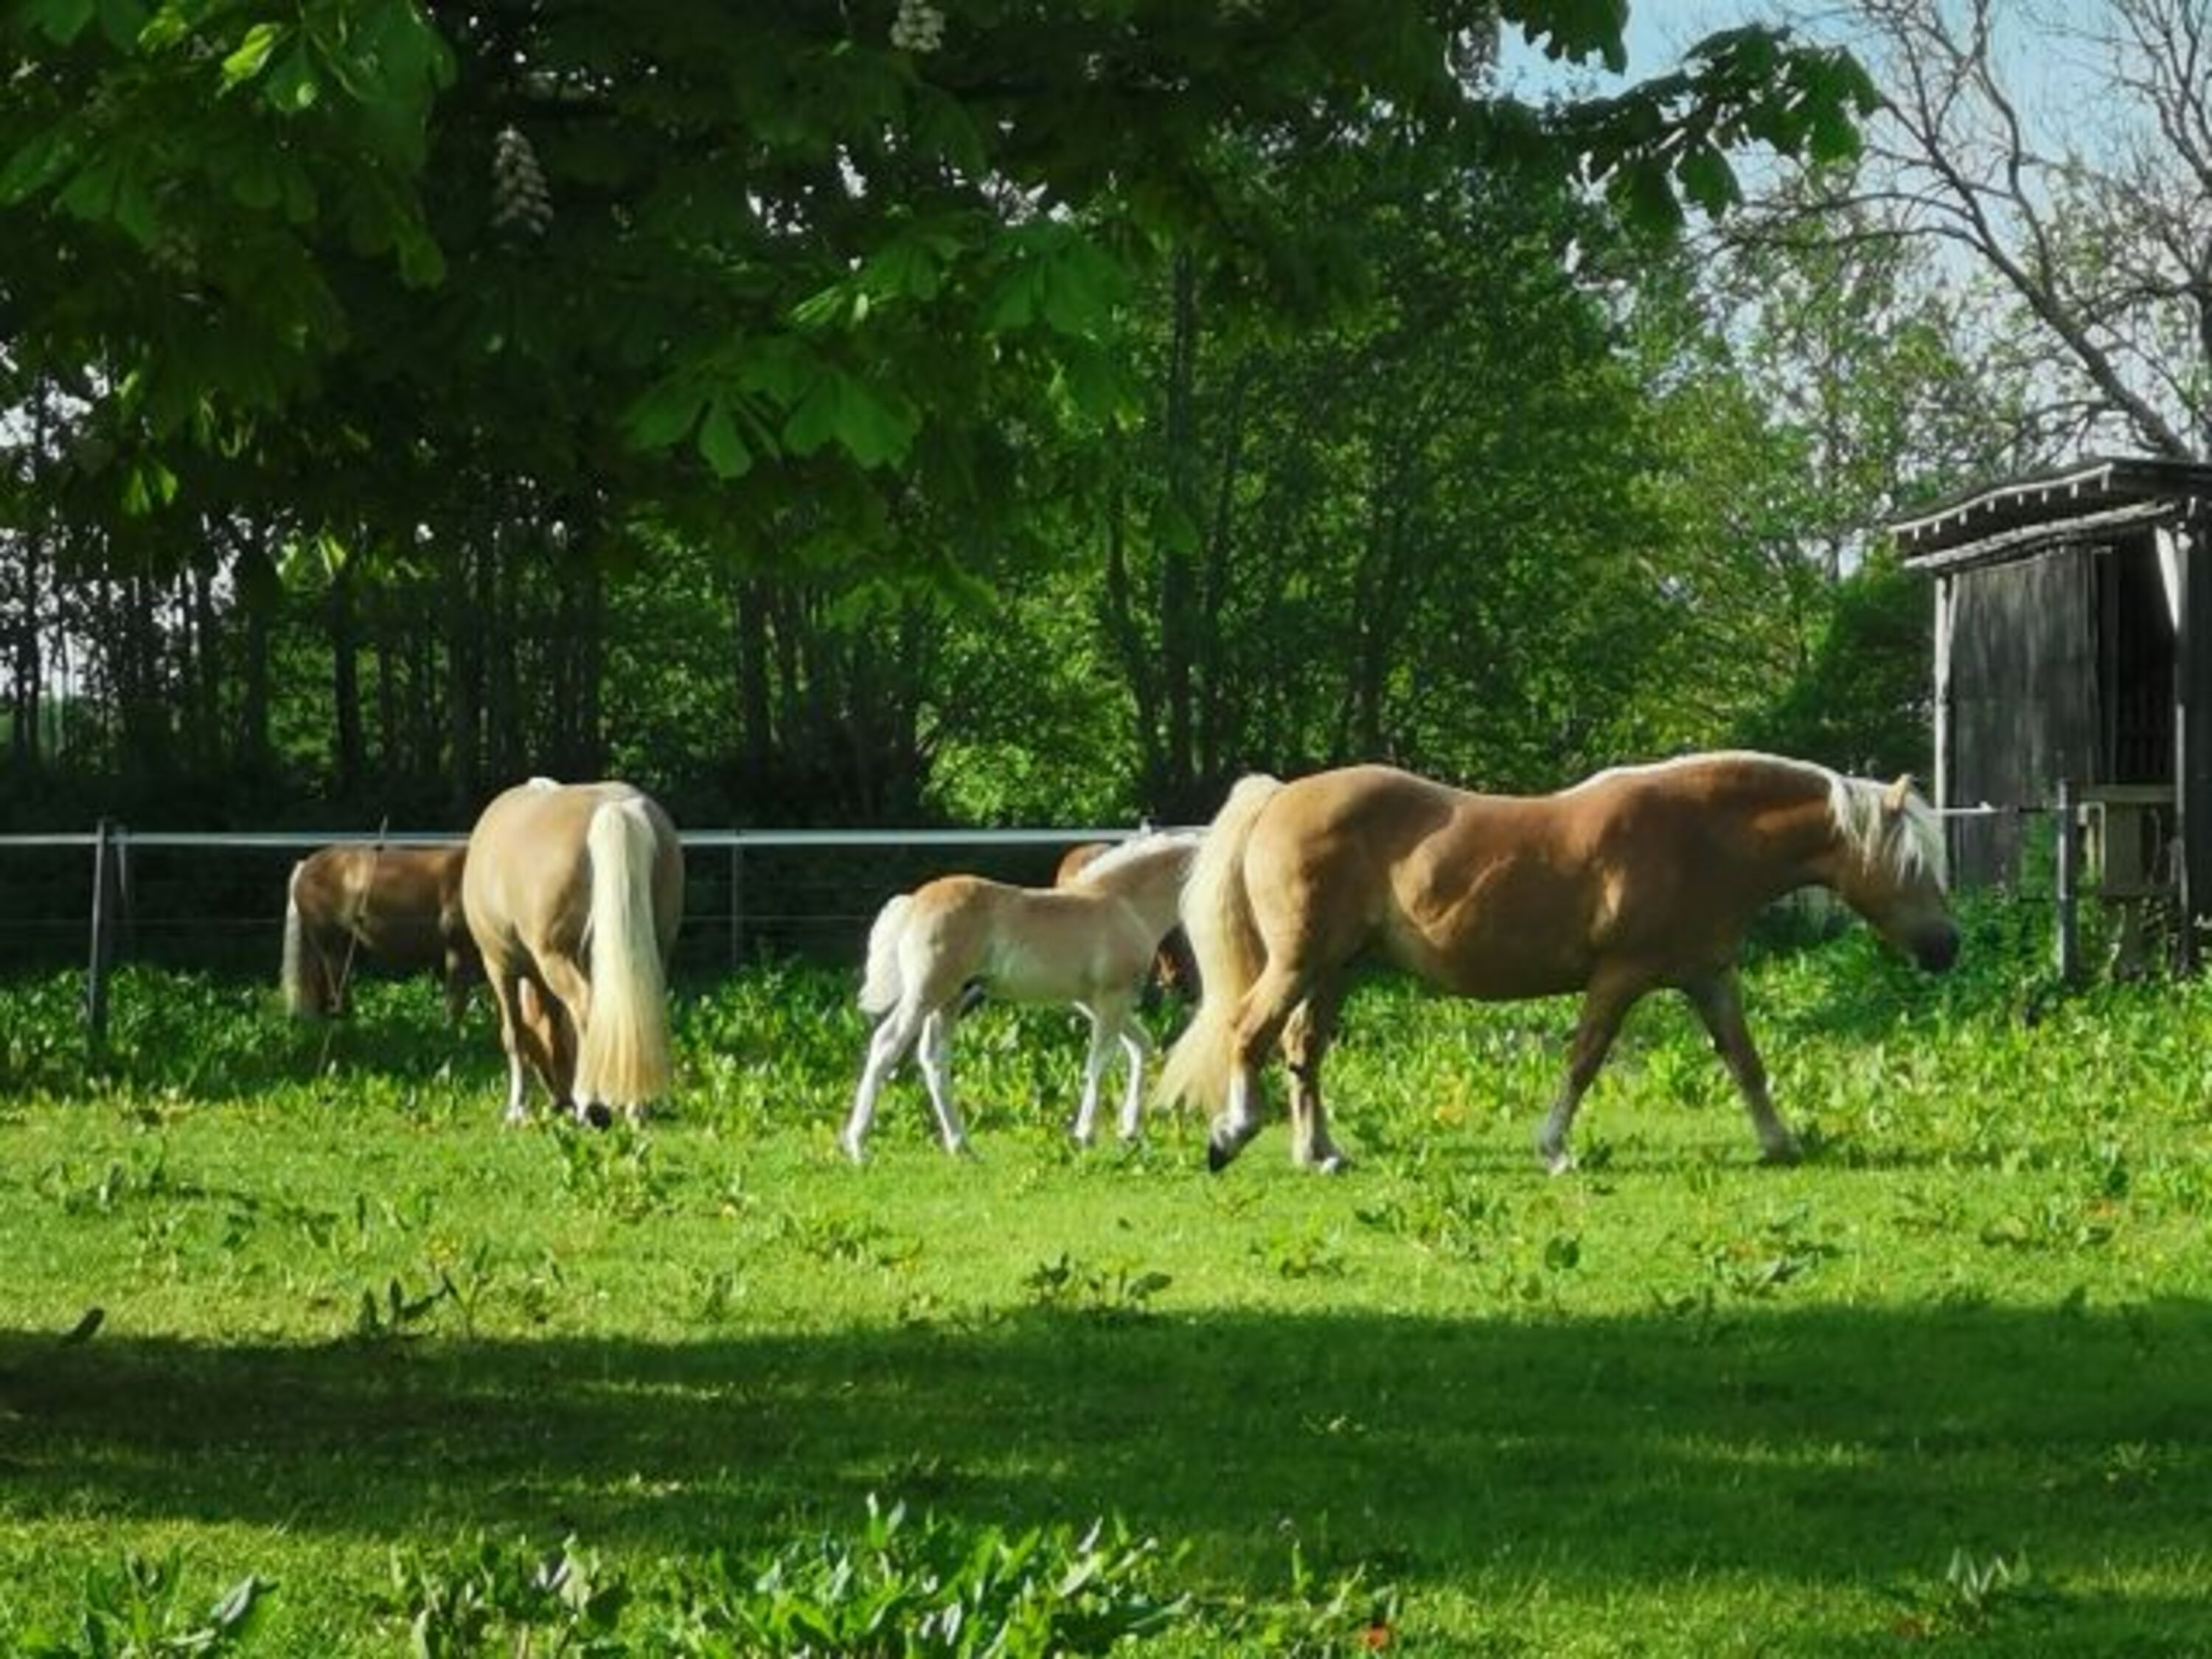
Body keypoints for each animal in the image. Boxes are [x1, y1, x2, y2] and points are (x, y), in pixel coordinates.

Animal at [280, 842, 479, 1020]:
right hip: (331, 948)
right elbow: (456, 1004)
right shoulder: (459, 949)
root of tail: (307, 864)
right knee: (336, 989)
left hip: (339, 946)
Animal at [461, 778, 685, 1127]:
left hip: (556, 960)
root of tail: (613, 806)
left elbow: (514, 1035)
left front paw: (516, 1108)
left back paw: (589, 1104)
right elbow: (559, 1031)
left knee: (585, 1008)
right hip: (654, 951)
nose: (557, 1096)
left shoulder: (498, 965)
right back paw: (635, 1107)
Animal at [840, 829, 1204, 1161]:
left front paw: (1130, 1132)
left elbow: (1141, 1045)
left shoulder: (1095, 1002)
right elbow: (1100, 1061)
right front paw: (1085, 1135)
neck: (1125, 903)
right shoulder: (1111, 998)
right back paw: (859, 1147)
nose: (1181, 981)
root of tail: (914, 902)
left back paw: (962, 1147)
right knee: (886, 1045)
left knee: (933, 1059)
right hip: (924, 995)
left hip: (948, 1000)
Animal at [1157, 752, 1958, 1175]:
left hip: (1337, 968)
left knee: (1304, 1050)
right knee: (1251, 1033)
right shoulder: (1621, 975)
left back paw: (1320, 1152)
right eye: (1914, 864)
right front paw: (1555, 1148)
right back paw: (1232, 1135)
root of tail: (1280, 797)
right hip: (1302, 961)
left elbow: (1744, 1060)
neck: (1700, 837)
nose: (1948, 949)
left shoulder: (1709, 976)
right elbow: (1585, 1059)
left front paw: (1779, 1142)